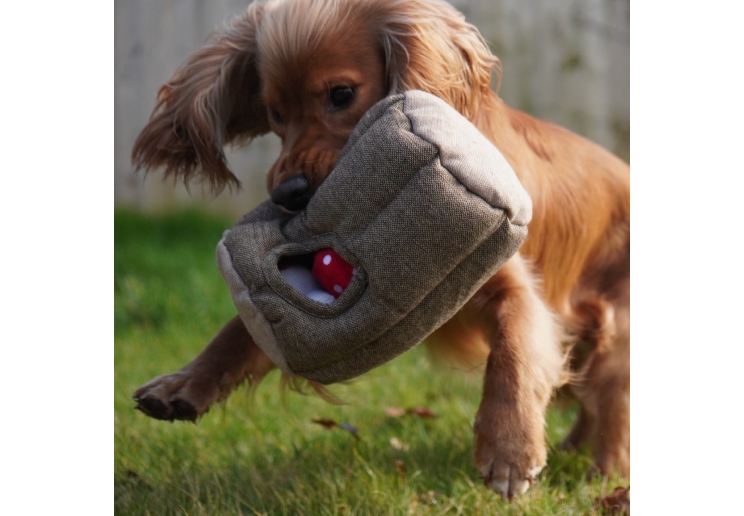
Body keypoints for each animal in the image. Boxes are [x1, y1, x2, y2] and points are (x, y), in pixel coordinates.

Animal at [132, 0, 628, 500]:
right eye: (274, 112)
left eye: (341, 94)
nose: (287, 193)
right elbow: (243, 328)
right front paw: (184, 384)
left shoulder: (516, 286)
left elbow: (514, 353)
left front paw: (509, 451)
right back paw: (572, 450)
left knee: (612, 413)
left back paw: (600, 478)